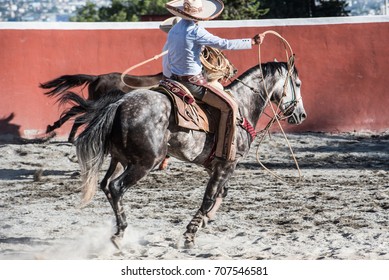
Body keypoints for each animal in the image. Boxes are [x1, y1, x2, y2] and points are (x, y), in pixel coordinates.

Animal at [68, 60, 308, 248]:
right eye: (297, 84)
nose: (301, 115)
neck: (242, 105)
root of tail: (119, 104)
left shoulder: (216, 166)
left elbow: (220, 194)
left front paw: (204, 221)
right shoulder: (227, 165)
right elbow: (209, 197)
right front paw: (190, 234)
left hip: (118, 159)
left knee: (106, 185)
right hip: (144, 163)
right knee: (117, 187)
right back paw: (119, 234)